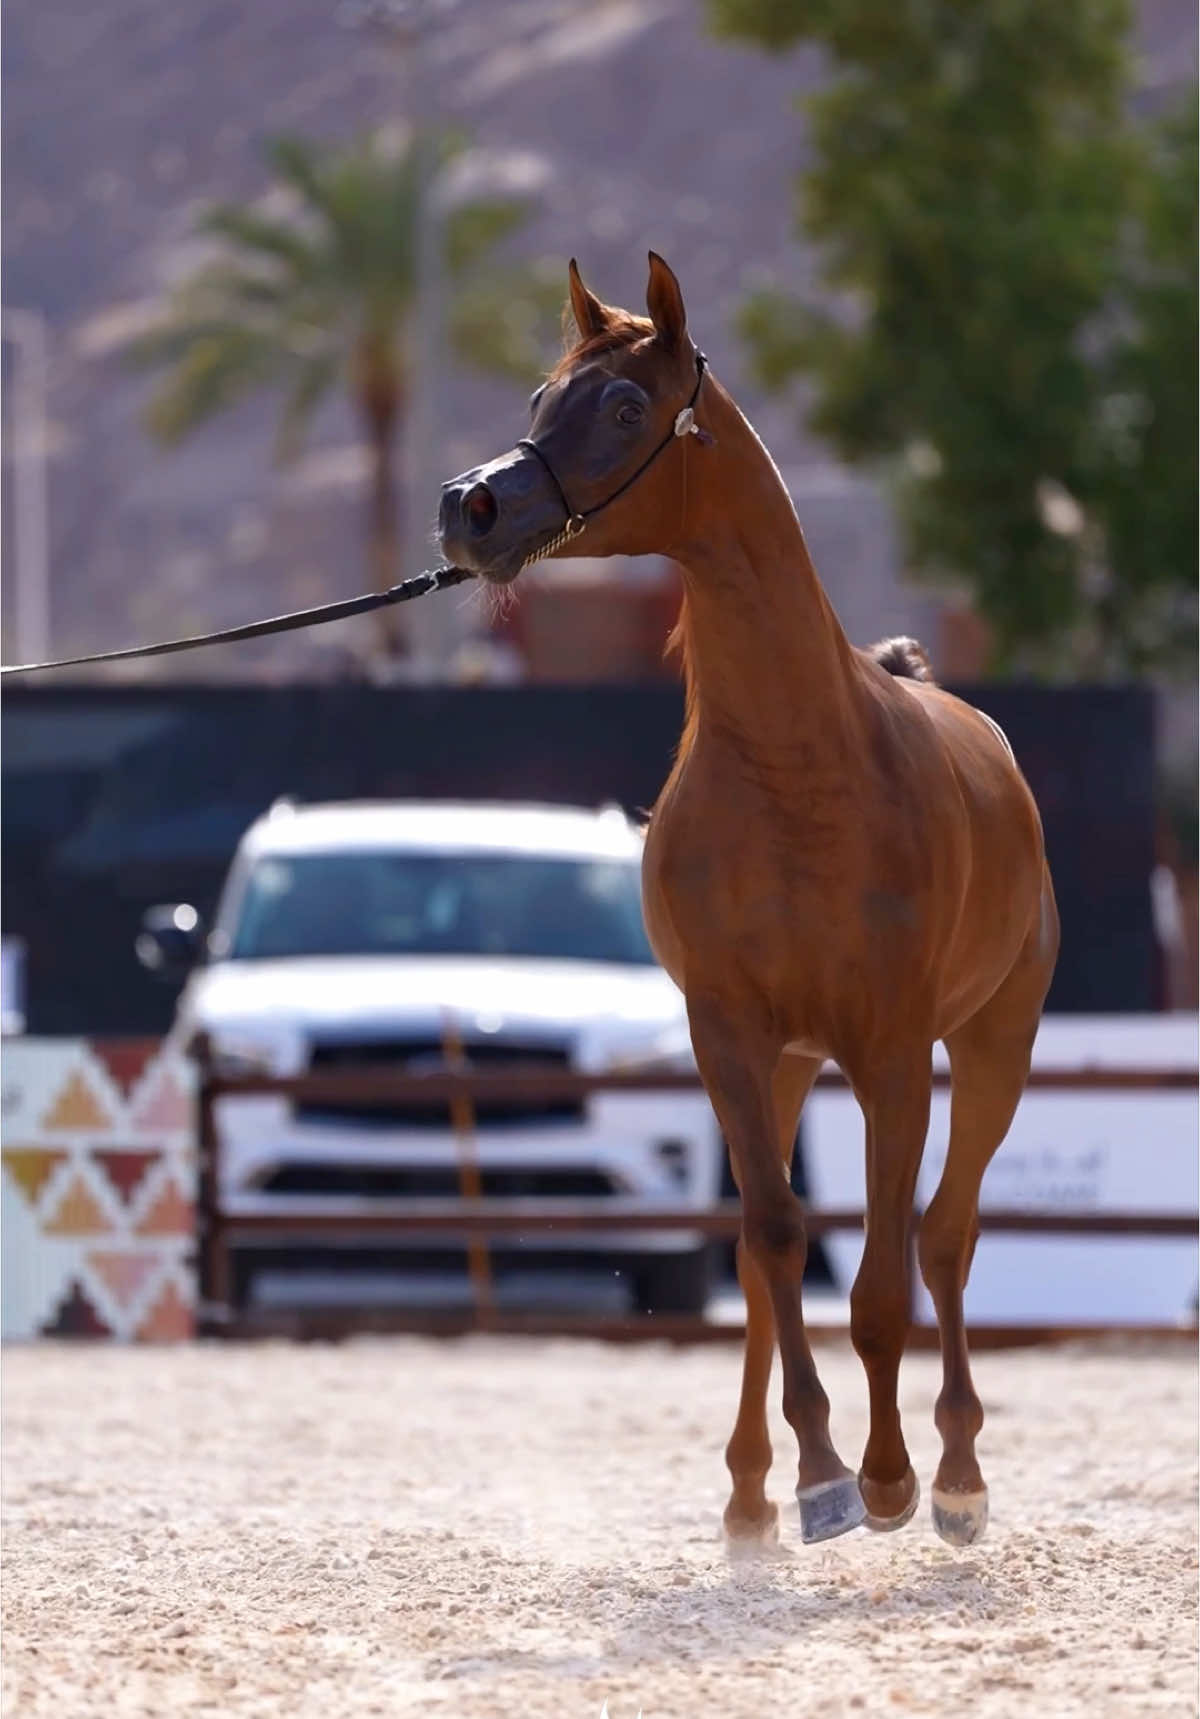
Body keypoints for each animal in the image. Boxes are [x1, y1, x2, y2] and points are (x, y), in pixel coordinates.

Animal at [440, 257, 1059, 1560]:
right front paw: (817, 1479)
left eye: (628, 406)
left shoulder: (891, 1055)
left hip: (993, 1047)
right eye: (541, 395)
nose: (470, 509)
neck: (796, 768)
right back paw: (749, 1494)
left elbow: (878, 1281)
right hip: (784, 1065)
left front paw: (890, 1480)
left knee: (946, 1236)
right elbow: (773, 1241)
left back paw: (959, 1474)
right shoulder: (726, 1033)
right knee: (769, 1254)